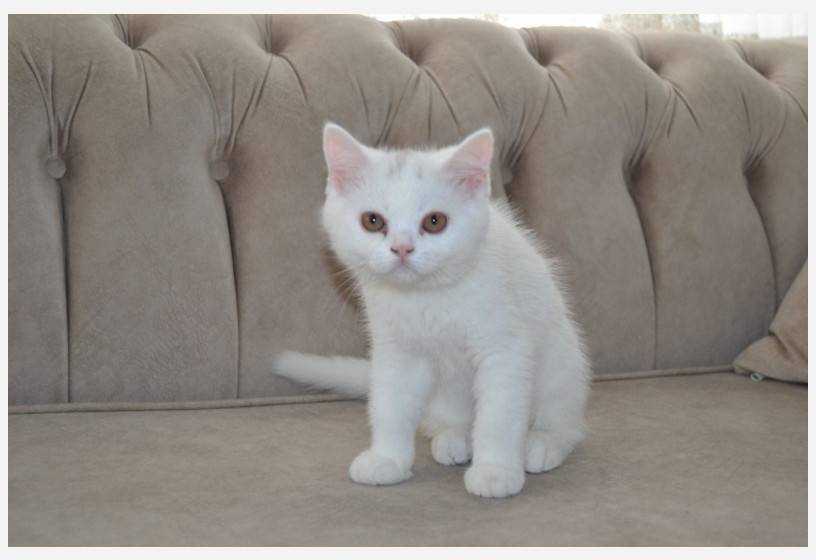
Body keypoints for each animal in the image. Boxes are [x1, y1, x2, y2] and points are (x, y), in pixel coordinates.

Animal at [272, 123, 588, 498]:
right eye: (372, 221)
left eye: (435, 221)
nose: (402, 248)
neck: (426, 297)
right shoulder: (396, 352)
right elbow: (390, 405)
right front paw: (388, 459)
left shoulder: (505, 347)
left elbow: (499, 414)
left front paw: (495, 469)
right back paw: (455, 438)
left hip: (560, 361)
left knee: (566, 422)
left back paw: (542, 443)